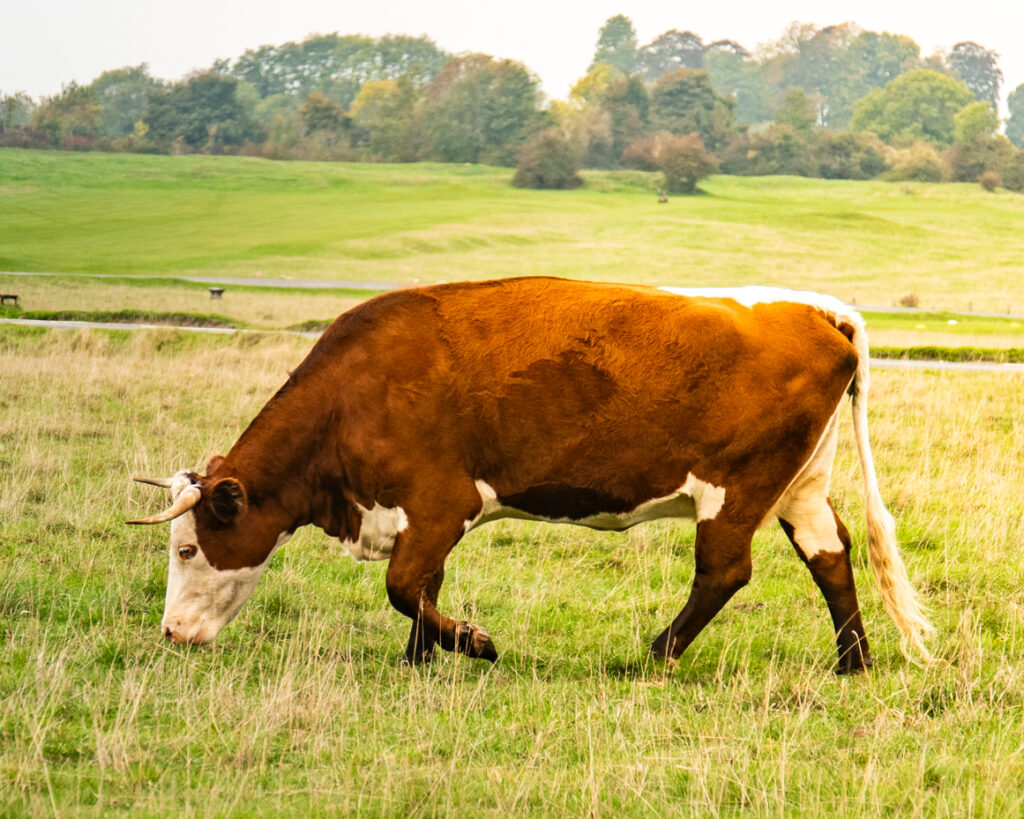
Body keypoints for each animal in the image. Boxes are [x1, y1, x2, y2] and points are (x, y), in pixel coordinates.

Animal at [128, 277, 933, 672]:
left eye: (188, 547)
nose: (171, 632)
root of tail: (816, 310)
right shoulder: (425, 516)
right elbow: (424, 586)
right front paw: (419, 658)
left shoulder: (439, 500)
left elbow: (404, 586)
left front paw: (474, 644)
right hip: (801, 484)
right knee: (831, 557)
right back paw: (852, 662)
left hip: (735, 489)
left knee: (725, 571)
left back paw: (655, 655)